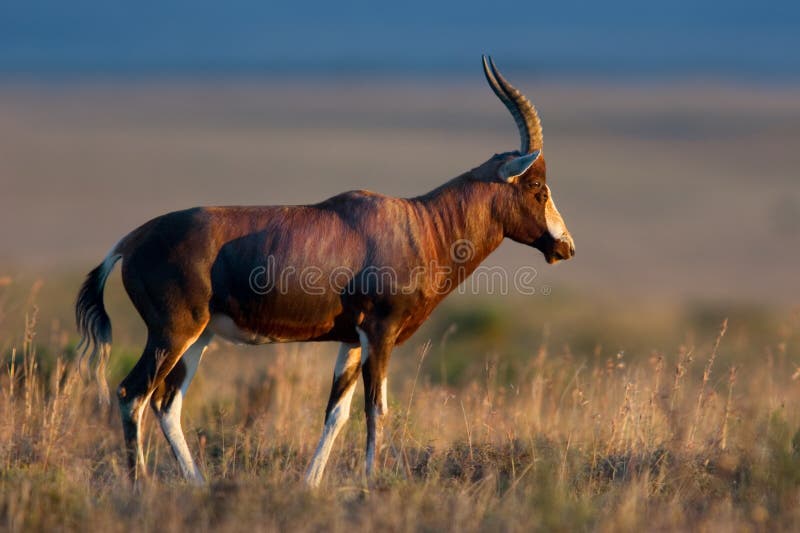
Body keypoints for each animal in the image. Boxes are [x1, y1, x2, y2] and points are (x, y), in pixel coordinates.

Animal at [75, 55, 576, 486]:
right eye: (537, 186)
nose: (566, 247)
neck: (419, 223)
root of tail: (131, 241)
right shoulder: (380, 333)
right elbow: (376, 409)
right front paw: (372, 483)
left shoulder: (352, 341)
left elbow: (337, 412)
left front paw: (310, 484)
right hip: (172, 333)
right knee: (132, 394)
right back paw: (140, 487)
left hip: (199, 338)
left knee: (166, 405)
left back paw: (197, 486)